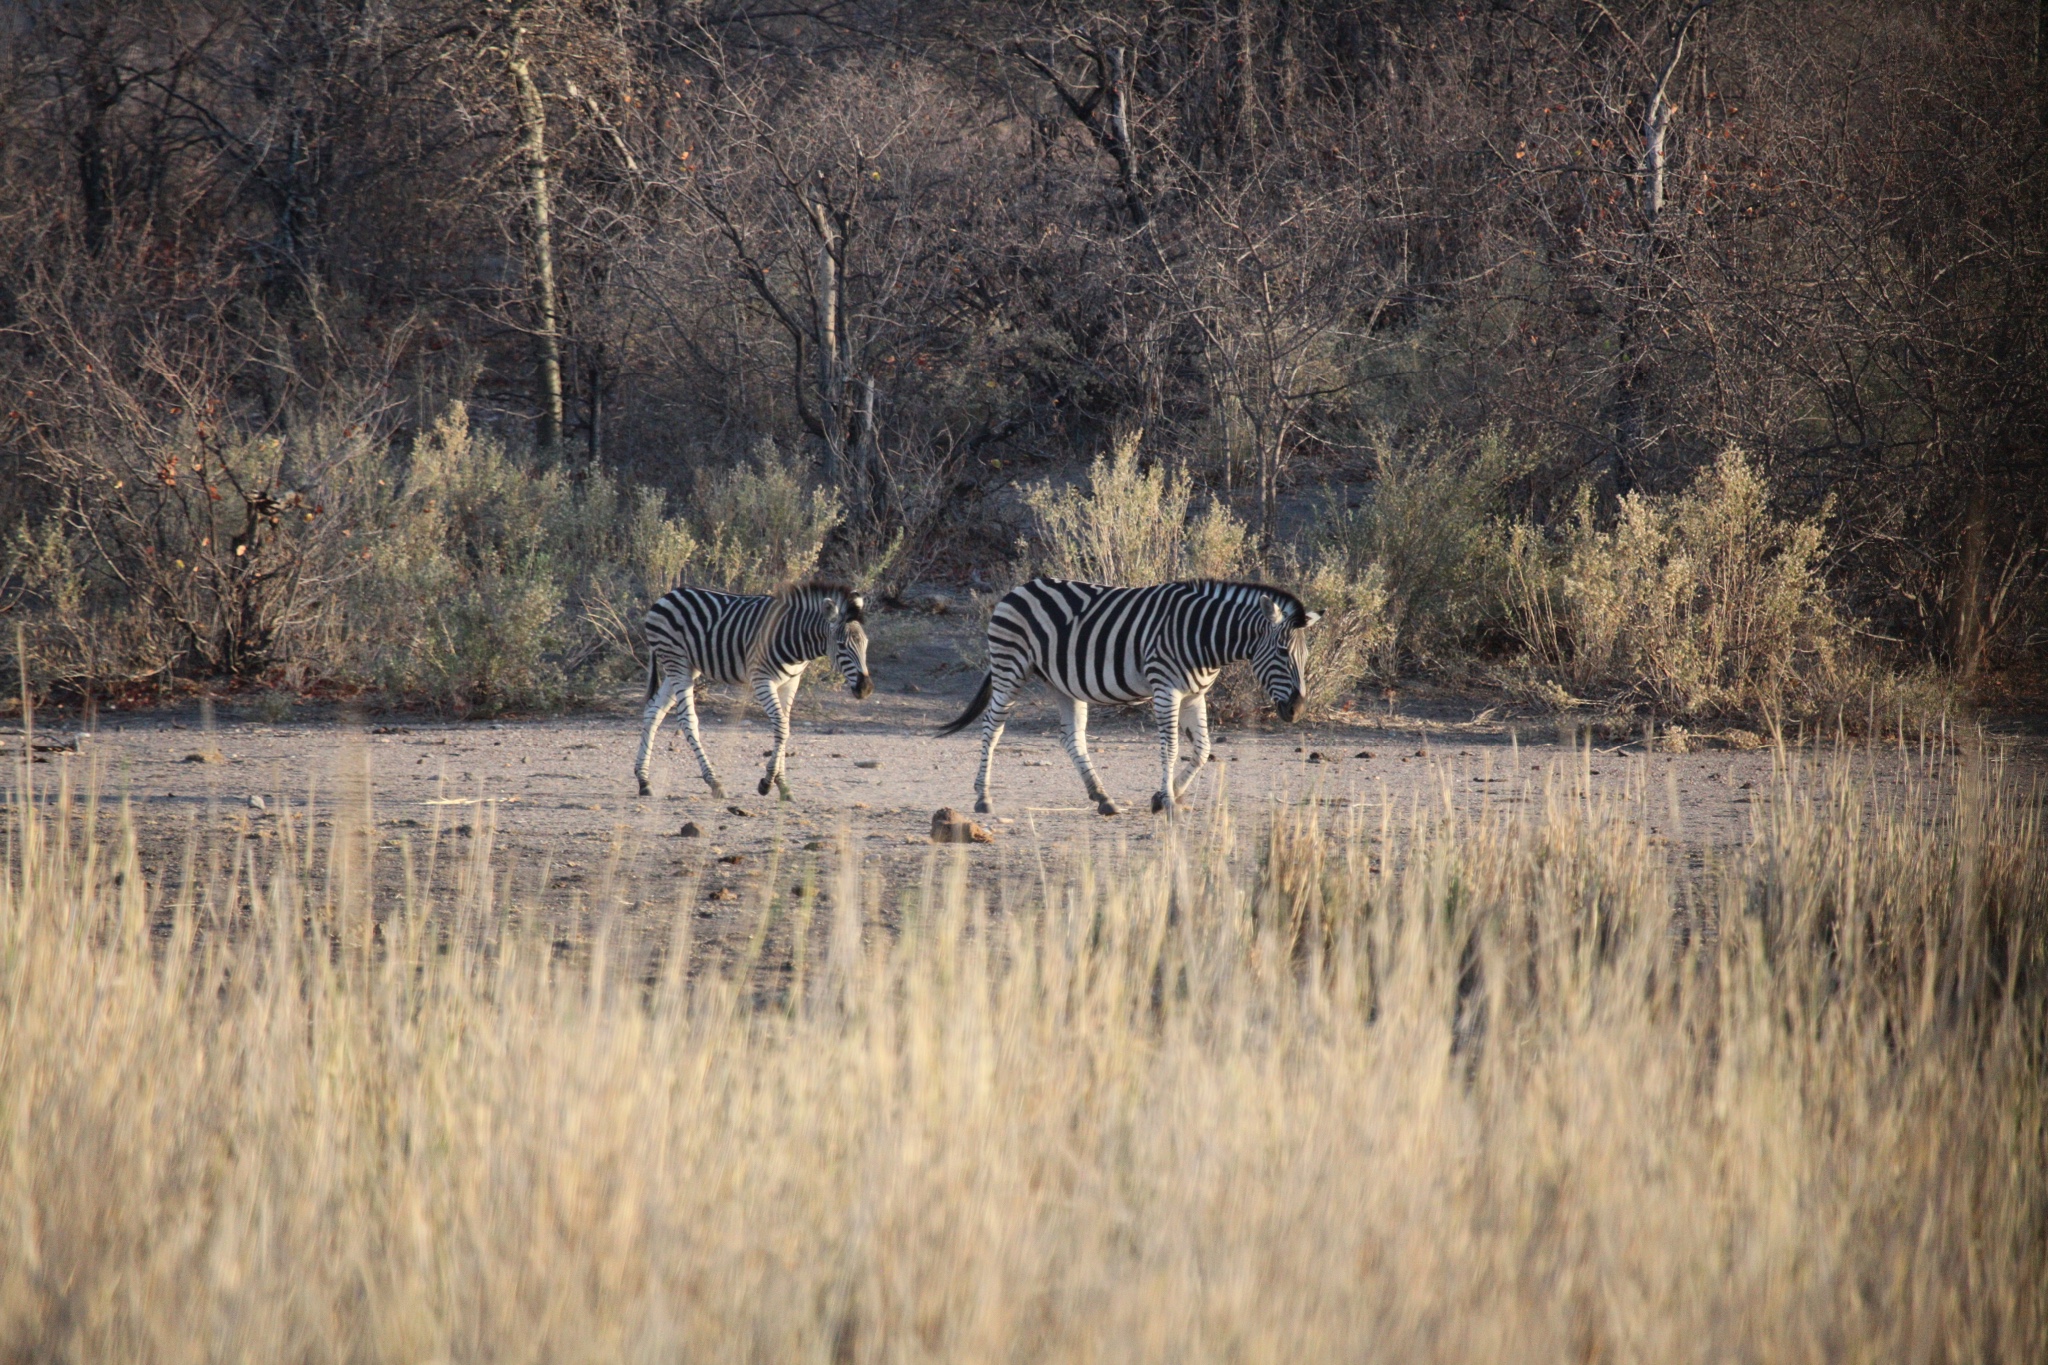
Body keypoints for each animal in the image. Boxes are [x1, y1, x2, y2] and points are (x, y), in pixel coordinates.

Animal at [630, 581, 872, 806]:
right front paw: (767, 783)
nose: (866, 688)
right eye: (841, 645)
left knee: (653, 711)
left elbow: (784, 726)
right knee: (687, 720)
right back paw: (714, 782)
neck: (794, 635)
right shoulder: (762, 679)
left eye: (866, 644)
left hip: (686, 667)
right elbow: (781, 727)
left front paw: (783, 786)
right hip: (676, 661)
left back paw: (644, 781)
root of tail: (667, 595)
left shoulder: (791, 682)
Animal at [937, 573, 1318, 810]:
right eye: (1281, 653)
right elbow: (1171, 748)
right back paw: (983, 797)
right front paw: (1167, 801)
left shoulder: (1195, 695)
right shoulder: (1166, 690)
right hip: (1010, 667)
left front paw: (1165, 796)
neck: (1204, 636)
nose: (1297, 710)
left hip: (1061, 682)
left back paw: (1103, 798)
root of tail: (1019, 588)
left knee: (1071, 737)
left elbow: (1203, 750)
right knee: (993, 727)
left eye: (1305, 657)